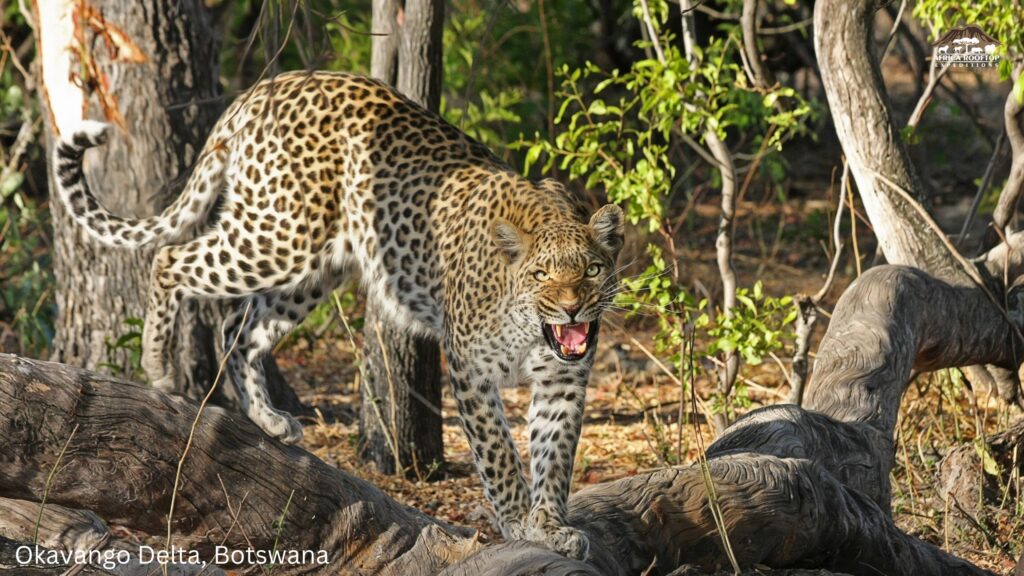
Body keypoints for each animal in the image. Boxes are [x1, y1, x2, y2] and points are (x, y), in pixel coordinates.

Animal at [54, 68, 622, 557]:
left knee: (238, 327)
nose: (572, 308)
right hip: (279, 235)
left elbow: (555, 455)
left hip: (314, 269)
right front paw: (519, 520)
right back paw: (159, 366)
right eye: (542, 275)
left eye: (593, 270)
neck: (532, 328)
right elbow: (500, 454)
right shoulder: (470, 369)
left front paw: (550, 526)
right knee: (170, 259)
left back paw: (268, 419)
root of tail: (263, 88)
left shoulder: (563, 380)